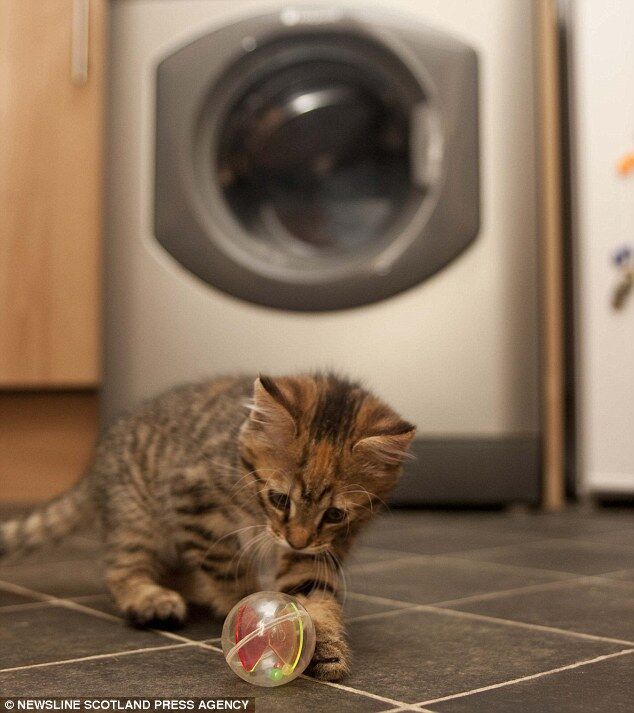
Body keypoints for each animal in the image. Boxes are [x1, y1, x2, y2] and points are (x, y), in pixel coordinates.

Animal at [0, 372, 414, 680]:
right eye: (280, 499)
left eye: (334, 515)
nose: (295, 541)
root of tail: (97, 460)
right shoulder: (195, 502)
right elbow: (229, 571)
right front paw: (252, 619)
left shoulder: (321, 548)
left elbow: (313, 591)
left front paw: (323, 643)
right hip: (138, 516)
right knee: (121, 568)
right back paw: (149, 598)